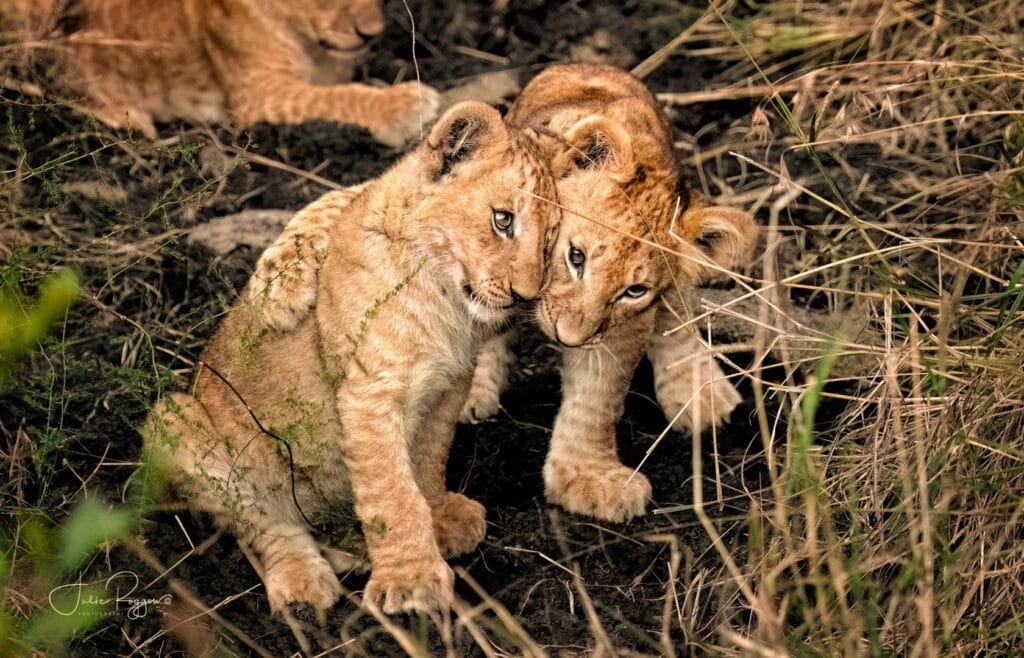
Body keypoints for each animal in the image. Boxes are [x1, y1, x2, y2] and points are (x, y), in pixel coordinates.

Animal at [142, 100, 564, 614]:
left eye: (551, 238)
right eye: (503, 220)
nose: (526, 296)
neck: (446, 303)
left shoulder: (448, 386)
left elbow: (428, 460)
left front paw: (439, 518)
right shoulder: (369, 395)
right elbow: (392, 494)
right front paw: (411, 582)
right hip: (176, 419)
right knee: (261, 522)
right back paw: (303, 584)